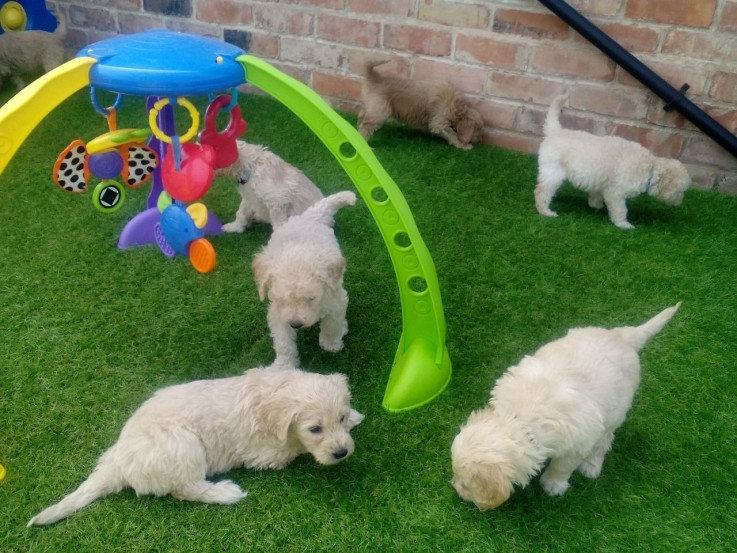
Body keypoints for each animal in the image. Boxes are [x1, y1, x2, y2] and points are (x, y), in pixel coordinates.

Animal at [28, 366, 362, 528]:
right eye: (314, 429)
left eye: (339, 417)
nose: (342, 453)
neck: (270, 396)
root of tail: (117, 462)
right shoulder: (268, 453)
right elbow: (295, 450)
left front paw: (355, 416)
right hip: (182, 444)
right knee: (183, 489)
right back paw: (225, 493)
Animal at [253, 190, 356, 366]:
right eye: (281, 299)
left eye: (311, 298)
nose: (295, 325)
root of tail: (308, 217)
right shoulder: (278, 313)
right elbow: (283, 341)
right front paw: (284, 364)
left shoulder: (335, 300)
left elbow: (332, 325)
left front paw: (330, 344)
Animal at [452, 302, 680, 508]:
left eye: (465, 483)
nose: (455, 489)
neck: (519, 418)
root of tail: (622, 337)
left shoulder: (578, 444)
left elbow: (562, 466)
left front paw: (553, 484)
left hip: (618, 409)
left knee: (605, 439)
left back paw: (591, 466)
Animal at [536, 94, 688, 227]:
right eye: (680, 191)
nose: (680, 202)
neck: (650, 168)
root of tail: (556, 132)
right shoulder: (616, 193)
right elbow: (621, 209)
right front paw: (623, 224)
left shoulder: (602, 183)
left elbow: (596, 195)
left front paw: (596, 205)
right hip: (553, 171)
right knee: (542, 191)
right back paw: (545, 212)